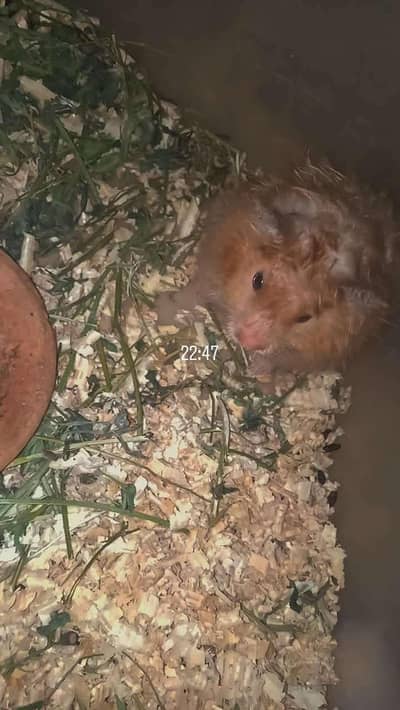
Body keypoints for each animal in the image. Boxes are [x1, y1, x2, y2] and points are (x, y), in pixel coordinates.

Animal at [156, 161, 399, 386]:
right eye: (257, 280)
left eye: (305, 318)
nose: (247, 341)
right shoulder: (214, 260)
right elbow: (196, 291)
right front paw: (168, 307)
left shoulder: (322, 351)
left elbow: (280, 358)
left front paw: (255, 369)